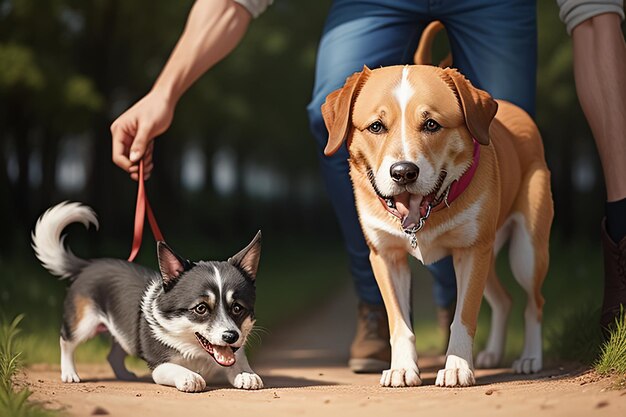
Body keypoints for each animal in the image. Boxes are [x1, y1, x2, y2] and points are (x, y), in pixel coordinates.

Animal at [32, 201, 260, 390]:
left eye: (237, 308)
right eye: (201, 308)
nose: (231, 336)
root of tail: (88, 265)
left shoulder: (234, 351)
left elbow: (237, 361)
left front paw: (246, 374)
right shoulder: (159, 365)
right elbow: (175, 368)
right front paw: (190, 377)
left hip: (124, 332)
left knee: (114, 355)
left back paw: (124, 375)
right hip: (84, 323)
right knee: (66, 340)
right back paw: (69, 373)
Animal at [322, 23, 552, 386]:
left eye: (432, 124)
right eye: (376, 126)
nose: (403, 172)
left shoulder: (471, 252)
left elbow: (463, 317)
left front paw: (457, 367)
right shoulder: (386, 257)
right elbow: (400, 323)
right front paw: (402, 368)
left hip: (526, 251)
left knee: (534, 302)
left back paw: (530, 357)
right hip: (491, 253)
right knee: (504, 300)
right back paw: (492, 354)